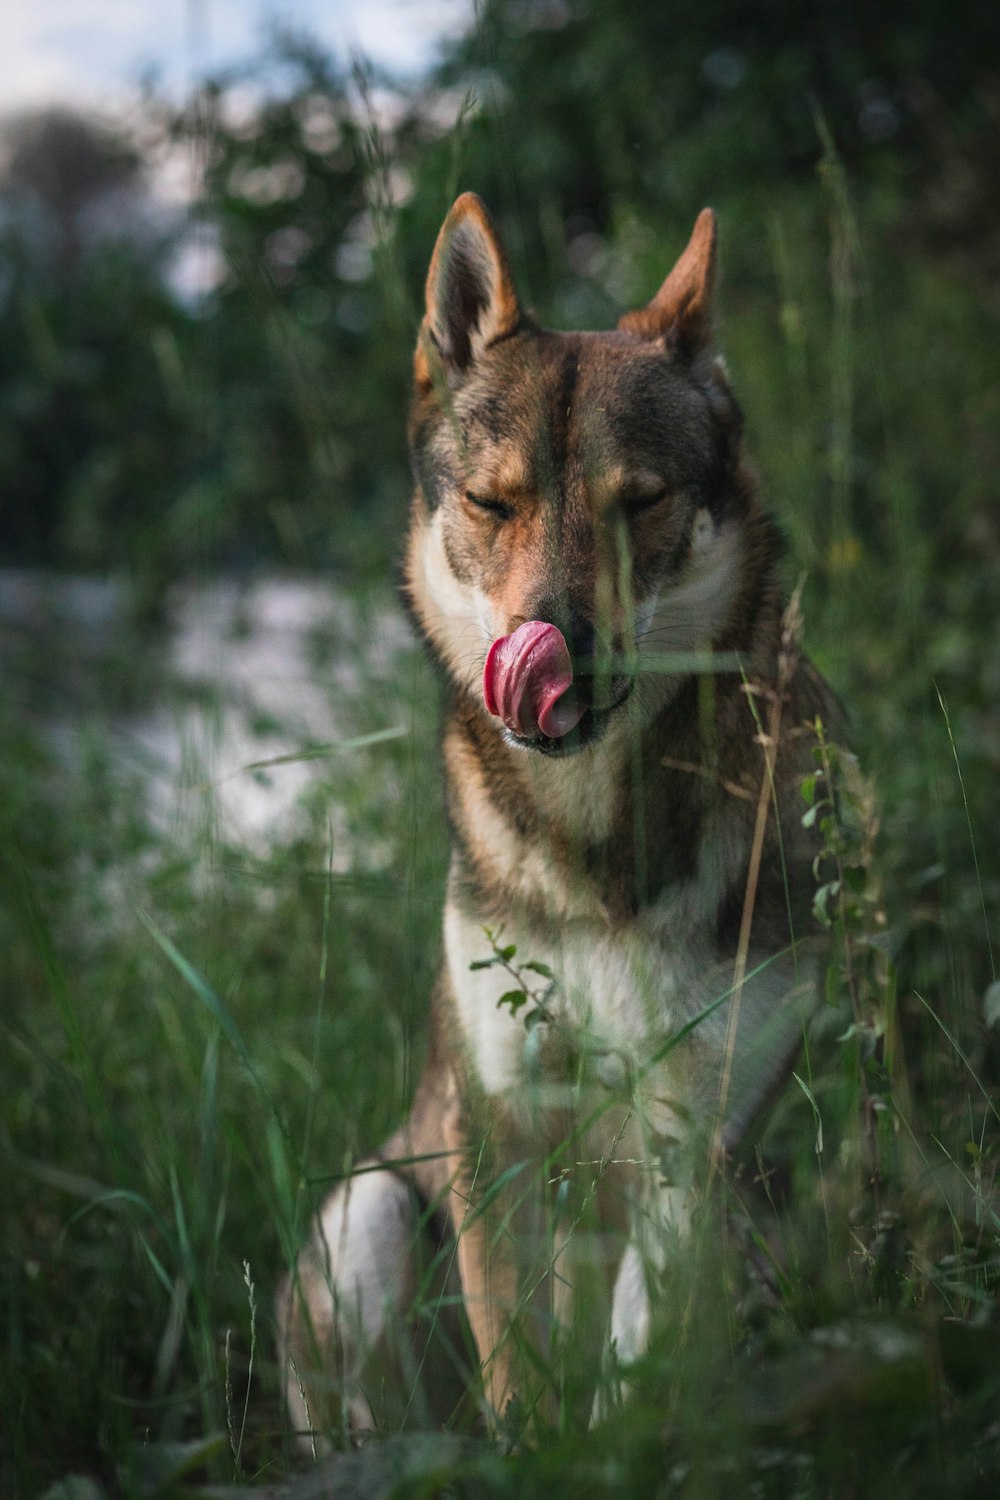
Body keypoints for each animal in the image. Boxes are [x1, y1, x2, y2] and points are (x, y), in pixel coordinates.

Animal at [275, 193, 845, 1446]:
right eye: (494, 504)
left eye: (641, 503)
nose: (554, 655)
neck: (596, 855)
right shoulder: (500, 1132)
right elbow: (522, 1374)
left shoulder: (693, 1143)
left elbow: (636, 1361)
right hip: (369, 1209)